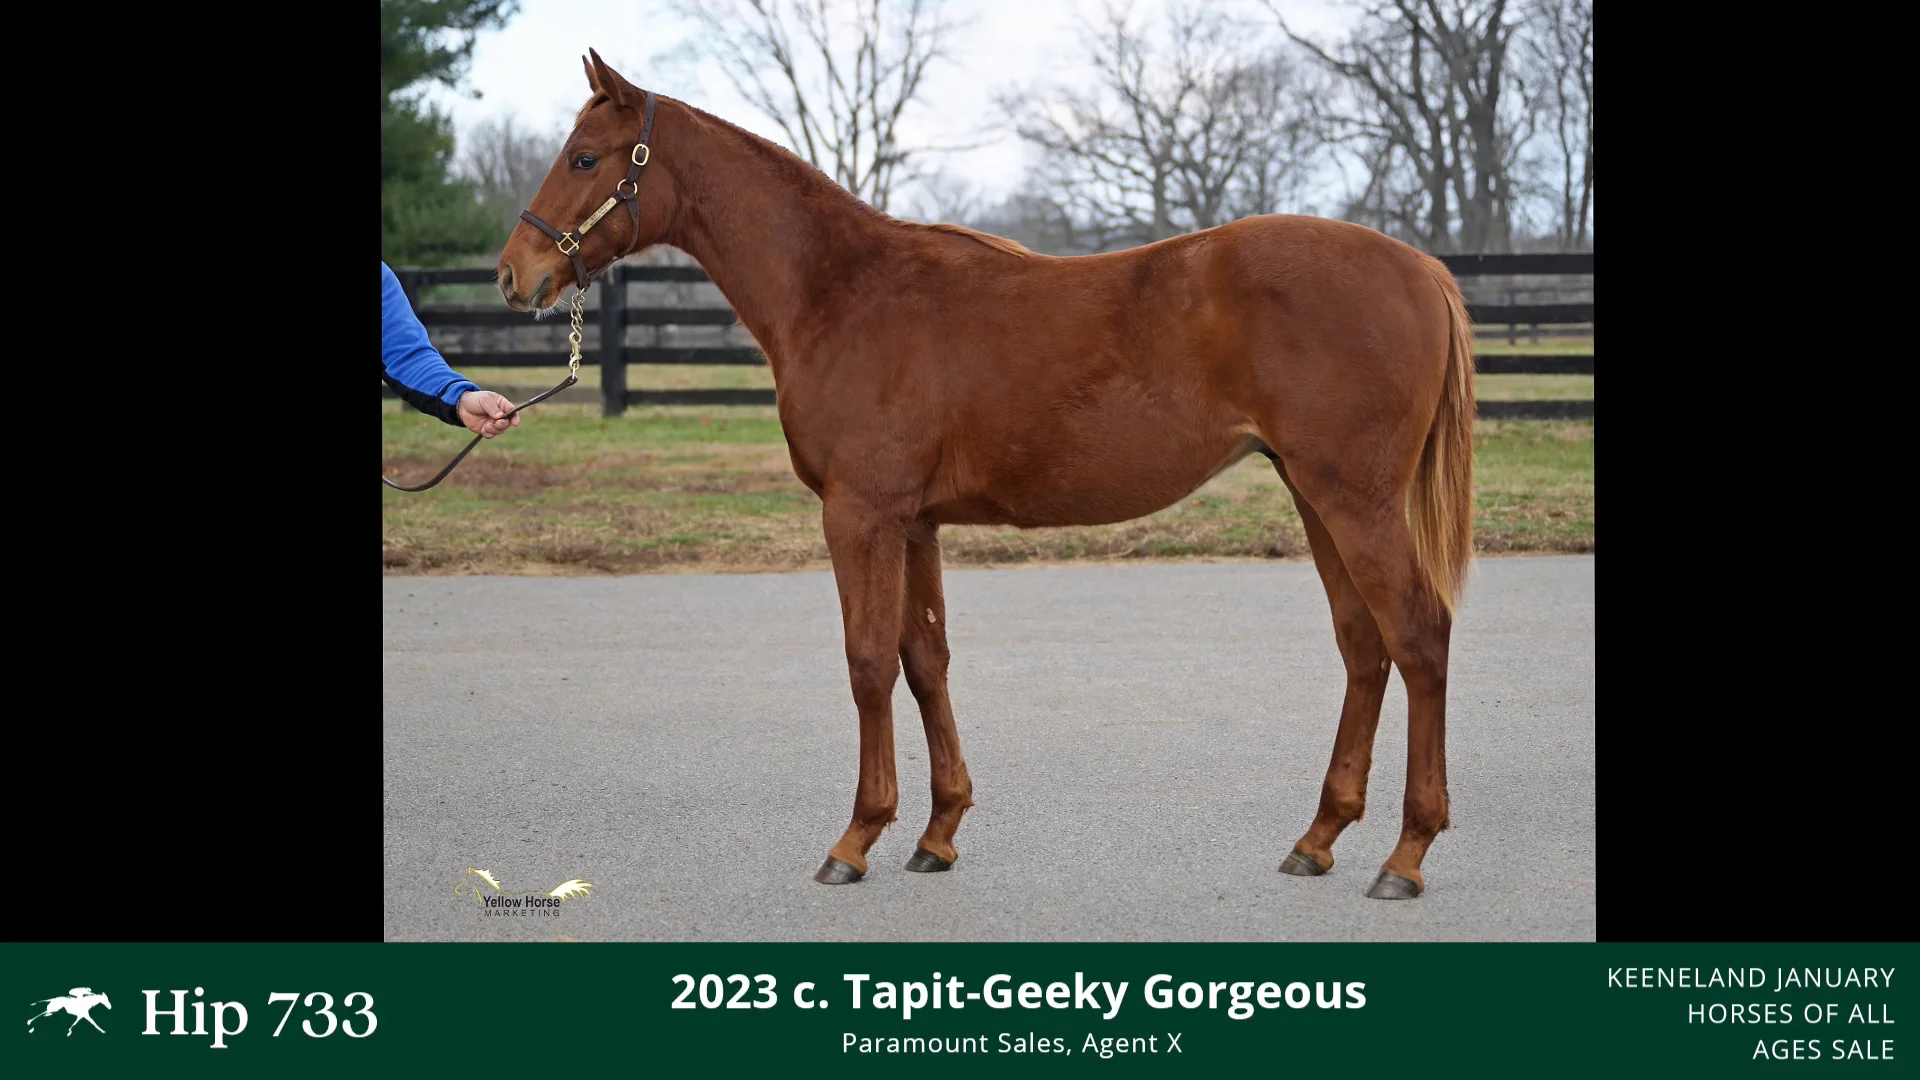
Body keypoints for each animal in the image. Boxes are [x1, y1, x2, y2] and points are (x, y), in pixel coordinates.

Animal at [495, 56, 1466, 899]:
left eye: (585, 157)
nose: (515, 274)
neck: (841, 293)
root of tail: (1419, 266)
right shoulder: (914, 523)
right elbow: (925, 662)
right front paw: (937, 833)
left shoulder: (860, 516)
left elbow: (867, 663)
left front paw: (855, 839)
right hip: (1313, 495)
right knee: (1364, 645)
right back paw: (1320, 838)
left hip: (1353, 499)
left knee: (1418, 635)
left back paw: (1407, 854)